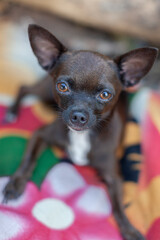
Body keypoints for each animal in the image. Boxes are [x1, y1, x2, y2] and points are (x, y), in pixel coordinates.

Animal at [2, 24, 158, 240]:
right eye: (62, 87)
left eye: (105, 95)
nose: (78, 115)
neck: (82, 136)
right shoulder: (40, 134)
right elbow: (28, 160)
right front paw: (15, 184)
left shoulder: (114, 176)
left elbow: (118, 207)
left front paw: (129, 229)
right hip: (44, 91)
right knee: (24, 88)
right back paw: (12, 112)